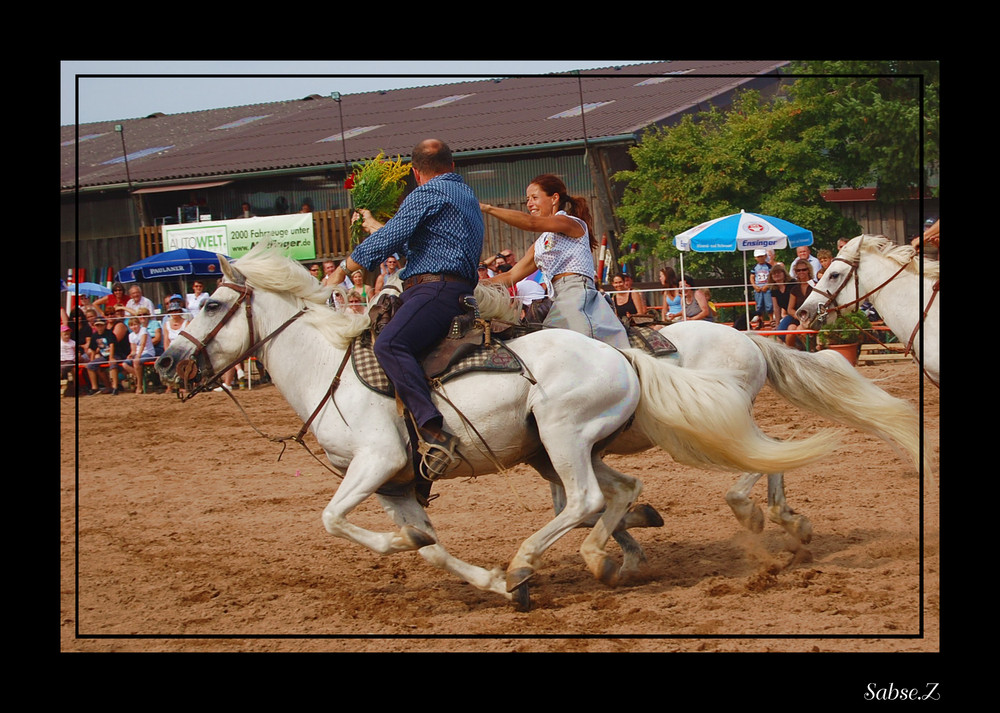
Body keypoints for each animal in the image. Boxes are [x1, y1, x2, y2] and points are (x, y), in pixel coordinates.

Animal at [158, 243, 844, 608]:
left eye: (211, 304)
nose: (165, 361)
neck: (331, 371)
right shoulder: (396, 484)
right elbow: (430, 547)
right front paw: (481, 579)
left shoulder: (376, 462)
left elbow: (333, 519)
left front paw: (432, 556)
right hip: (562, 444)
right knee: (617, 493)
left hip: (569, 434)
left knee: (592, 498)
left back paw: (537, 560)